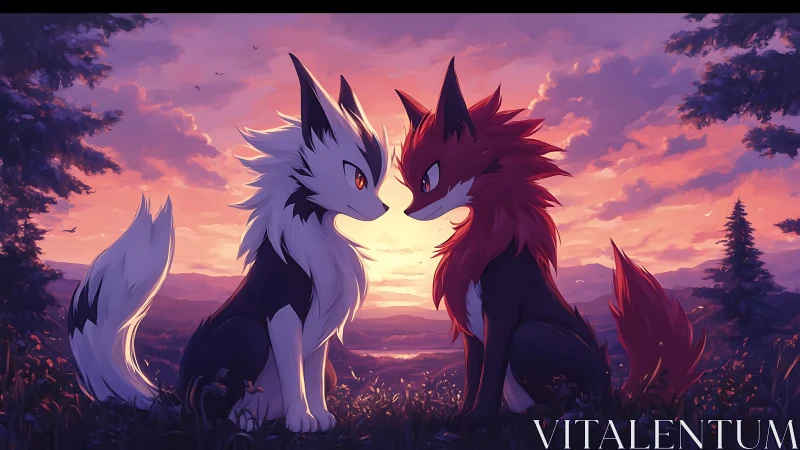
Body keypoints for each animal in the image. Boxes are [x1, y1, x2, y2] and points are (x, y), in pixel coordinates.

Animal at [66, 54, 390, 433]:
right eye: (358, 179)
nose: (386, 209)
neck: (314, 228)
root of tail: (177, 400)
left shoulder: (323, 321)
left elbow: (310, 373)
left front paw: (322, 418)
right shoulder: (282, 311)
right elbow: (292, 371)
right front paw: (300, 421)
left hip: (327, 372)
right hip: (245, 335)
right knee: (215, 409)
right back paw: (245, 423)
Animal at [394, 58, 707, 428]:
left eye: (429, 179)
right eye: (409, 184)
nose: (407, 212)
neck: (489, 248)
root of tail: (613, 392)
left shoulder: (500, 312)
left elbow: (490, 375)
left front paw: (479, 420)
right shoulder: (471, 331)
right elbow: (472, 377)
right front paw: (460, 418)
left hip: (532, 338)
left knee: (575, 404)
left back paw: (545, 414)